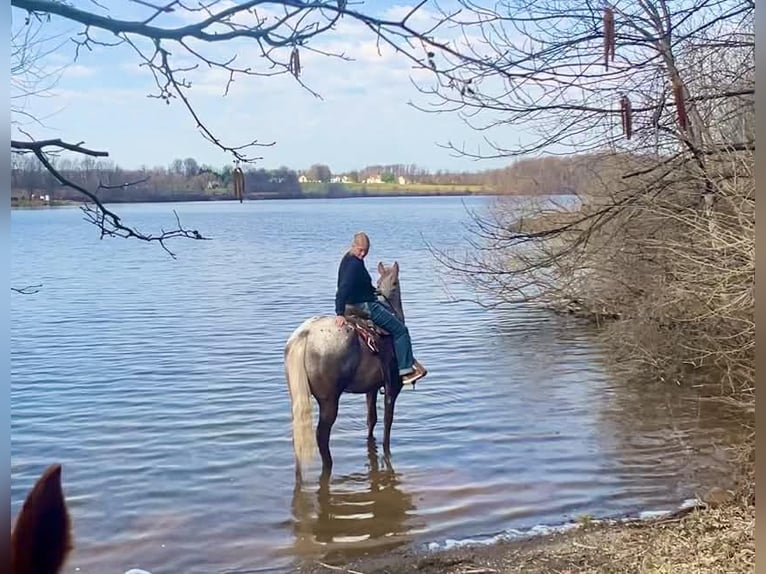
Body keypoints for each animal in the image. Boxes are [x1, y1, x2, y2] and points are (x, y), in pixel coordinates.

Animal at [284, 261, 408, 476]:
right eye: (394, 283)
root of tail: (305, 334)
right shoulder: (392, 387)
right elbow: (387, 422)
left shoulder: (371, 388)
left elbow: (371, 419)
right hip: (329, 401)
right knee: (321, 435)